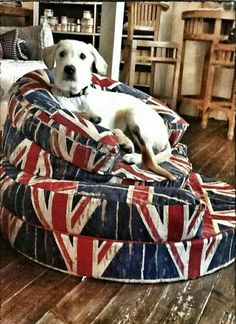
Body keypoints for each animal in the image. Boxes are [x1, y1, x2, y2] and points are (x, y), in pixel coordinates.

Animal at [42, 40, 175, 180]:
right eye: (62, 54)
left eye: (83, 56)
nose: (69, 68)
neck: (76, 96)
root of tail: (166, 136)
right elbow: (77, 113)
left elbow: (111, 128)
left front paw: (124, 141)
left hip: (134, 115)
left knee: (150, 155)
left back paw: (132, 156)